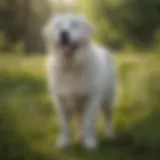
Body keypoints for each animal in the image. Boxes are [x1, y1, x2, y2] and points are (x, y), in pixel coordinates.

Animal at [42, 13, 117, 149]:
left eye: (74, 24)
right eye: (58, 25)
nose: (63, 33)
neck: (71, 65)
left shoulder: (92, 99)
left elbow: (89, 123)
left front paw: (89, 143)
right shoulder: (61, 100)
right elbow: (64, 125)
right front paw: (64, 142)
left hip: (109, 98)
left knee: (108, 117)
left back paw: (109, 134)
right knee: (80, 119)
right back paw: (80, 136)